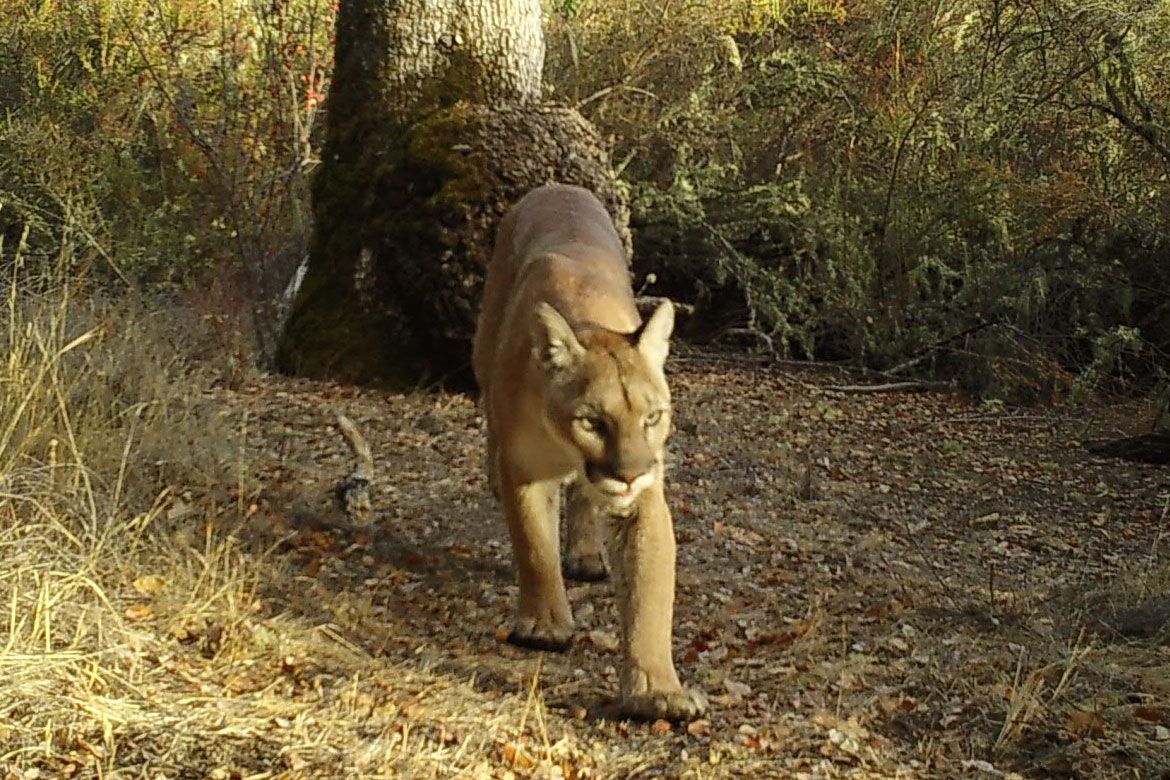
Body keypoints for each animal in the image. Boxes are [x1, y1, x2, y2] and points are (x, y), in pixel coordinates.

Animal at [473, 183, 707, 721]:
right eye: (591, 422)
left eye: (652, 418)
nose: (630, 474)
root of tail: (555, 186)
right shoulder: (525, 471)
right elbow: (534, 546)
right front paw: (544, 625)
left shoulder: (645, 498)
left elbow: (650, 593)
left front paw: (657, 690)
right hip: (481, 349)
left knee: (582, 495)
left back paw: (583, 553)